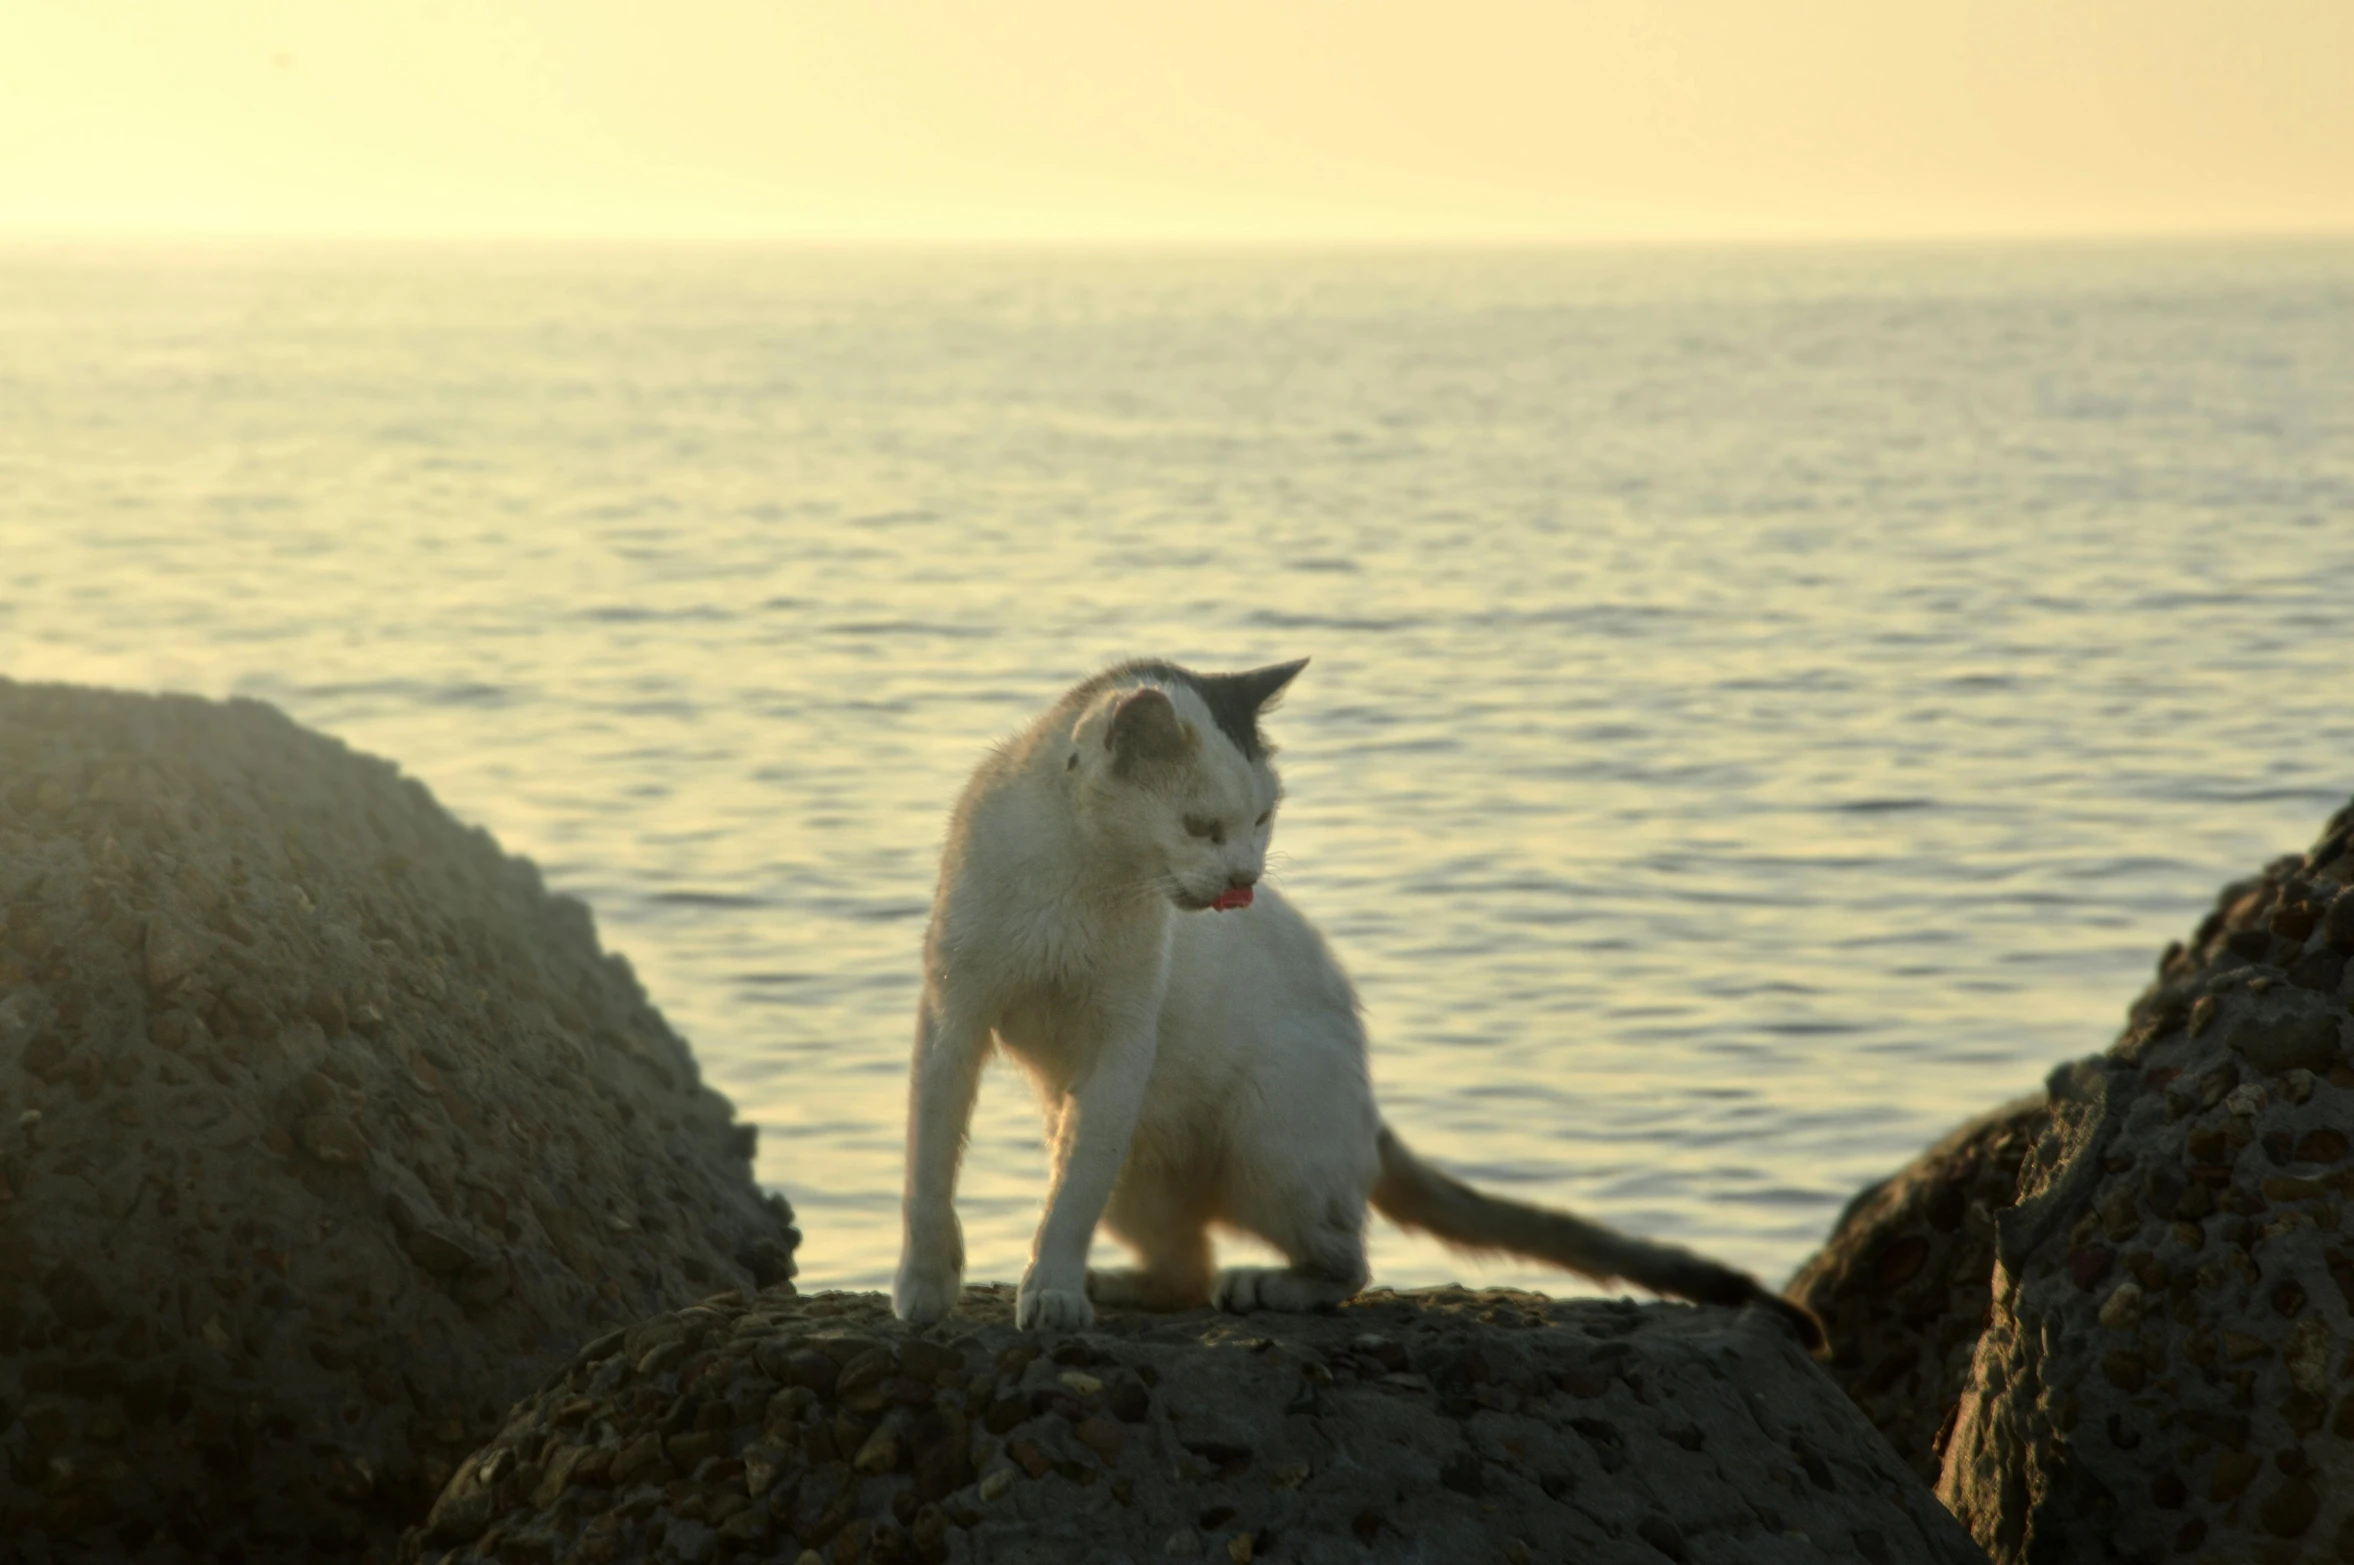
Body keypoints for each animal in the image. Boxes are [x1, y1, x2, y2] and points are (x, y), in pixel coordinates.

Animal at [889, 654, 1826, 1346]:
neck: (1080, 879)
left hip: (1259, 1139)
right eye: (1200, 826)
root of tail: (1368, 1110)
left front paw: (1048, 1291)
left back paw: (1260, 1285)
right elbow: (929, 1168)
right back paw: (1116, 1279)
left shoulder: (1119, 1046)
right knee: (1183, 1263)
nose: (1245, 880)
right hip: (1118, 1143)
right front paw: (927, 1287)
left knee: (1338, 1262)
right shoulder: (952, 1018)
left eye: (1263, 819)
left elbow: (1068, 1198)